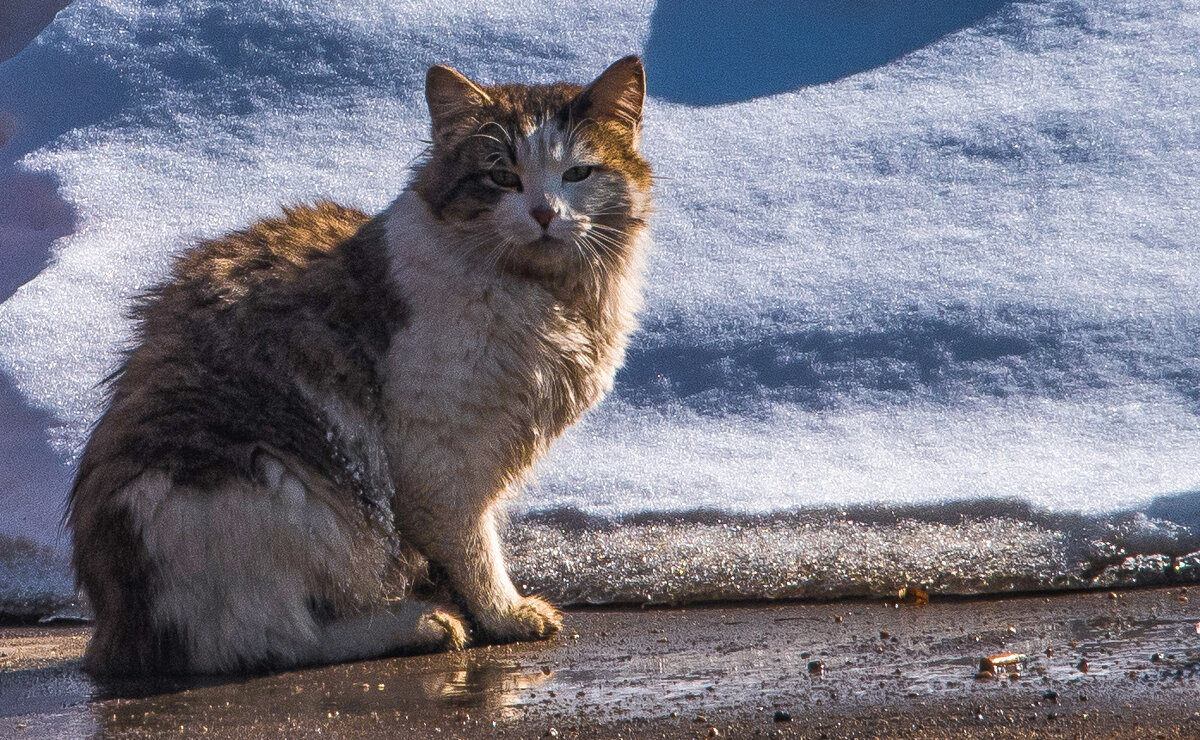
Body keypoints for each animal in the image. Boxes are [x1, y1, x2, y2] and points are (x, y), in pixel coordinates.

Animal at [70, 54, 652, 671]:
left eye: (578, 174)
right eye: (502, 178)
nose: (544, 213)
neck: (554, 299)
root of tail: (114, 625)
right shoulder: (435, 452)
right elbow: (473, 545)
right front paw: (502, 613)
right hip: (270, 490)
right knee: (269, 639)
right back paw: (421, 623)